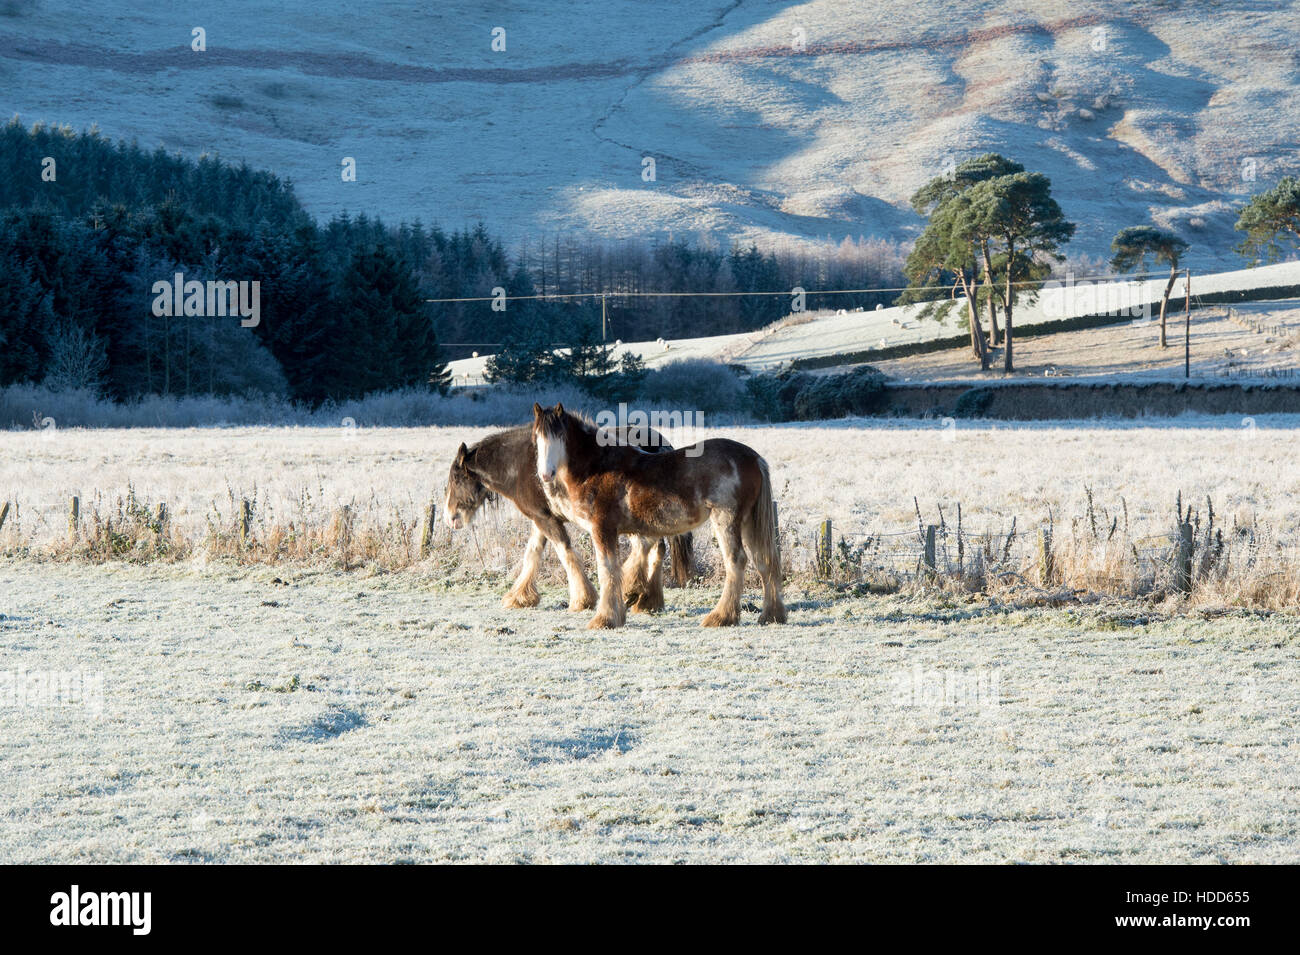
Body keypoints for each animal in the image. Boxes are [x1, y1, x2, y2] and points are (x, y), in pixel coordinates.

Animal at [444, 424, 693, 613]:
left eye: (455, 479)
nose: (450, 517)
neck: (520, 465)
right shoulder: (541, 519)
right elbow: (532, 554)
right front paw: (519, 597)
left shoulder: (546, 520)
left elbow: (565, 553)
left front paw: (582, 600)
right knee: (656, 548)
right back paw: (647, 601)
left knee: (647, 545)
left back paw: (632, 591)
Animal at [531, 402, 786, 630]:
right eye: (537, 438)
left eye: (560, 435)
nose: (545, 474)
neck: (598, 467)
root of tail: (753, 458)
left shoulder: (602, 529)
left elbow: (608, 570)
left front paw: (606, 619)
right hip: (749, 522)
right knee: (764, 560)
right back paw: (771, 616)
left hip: (726, 520)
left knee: (736, 561)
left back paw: (721, 617)